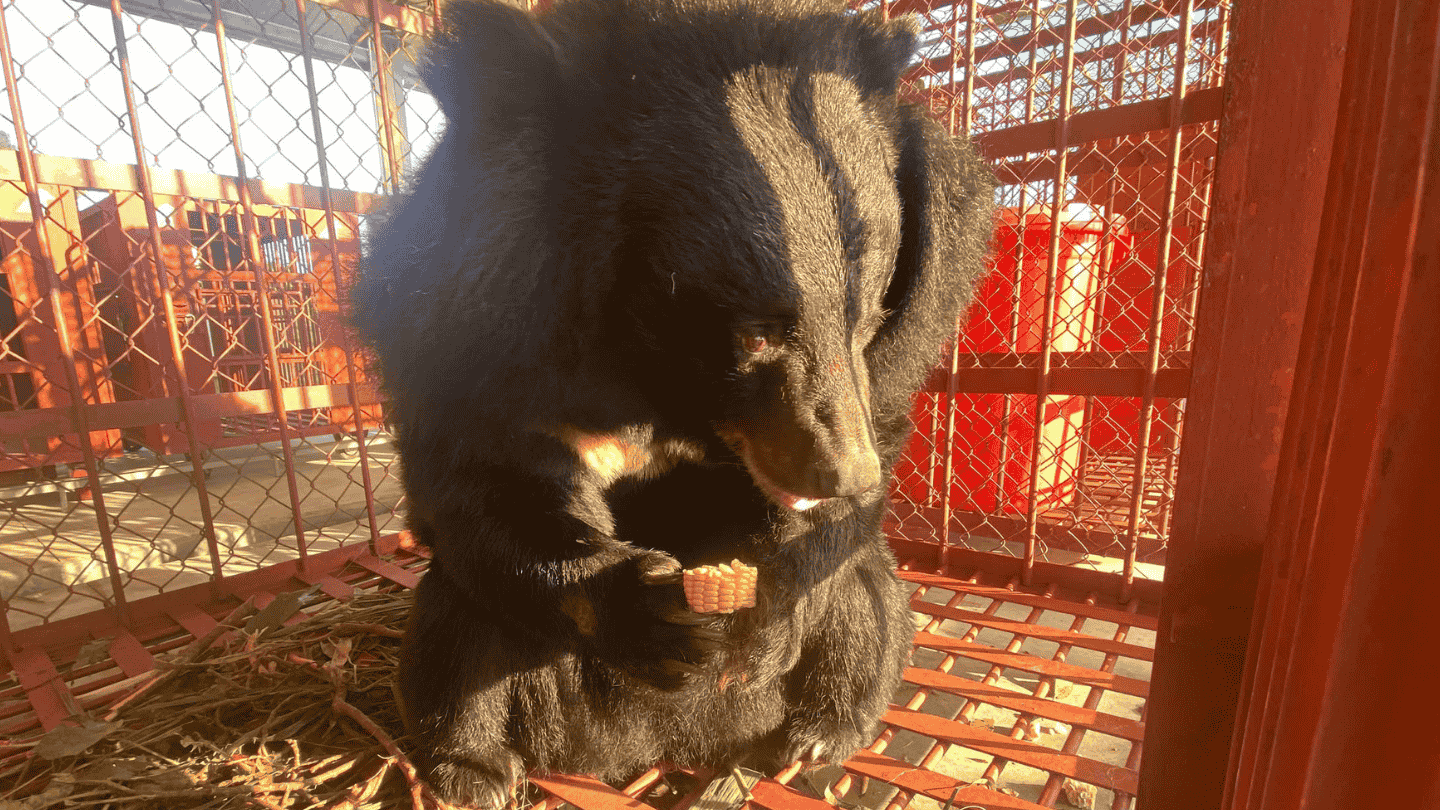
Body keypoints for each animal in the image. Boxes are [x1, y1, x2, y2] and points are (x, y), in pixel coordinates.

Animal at [348, 0, 995, 804]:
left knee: (868, 602)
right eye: (753, 333)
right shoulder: (463, 307)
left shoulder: (915, 315)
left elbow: (874, 438)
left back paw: (816, 735)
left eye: (869, 314)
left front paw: (767, 604)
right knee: (454, 627)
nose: (845, 476)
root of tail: (656, 744)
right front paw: (648, 613)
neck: (658, 376)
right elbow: (479, 485)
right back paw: (473, 771)